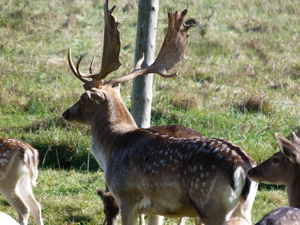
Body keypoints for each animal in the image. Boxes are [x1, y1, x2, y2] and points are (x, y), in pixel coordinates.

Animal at [62, 0, 256, 224]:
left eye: (83, 98)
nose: (66, 113)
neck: (113, 146)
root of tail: (243, 165)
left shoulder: (127, 197)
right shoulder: (158, 208)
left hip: (213, 207)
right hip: (244, 209)